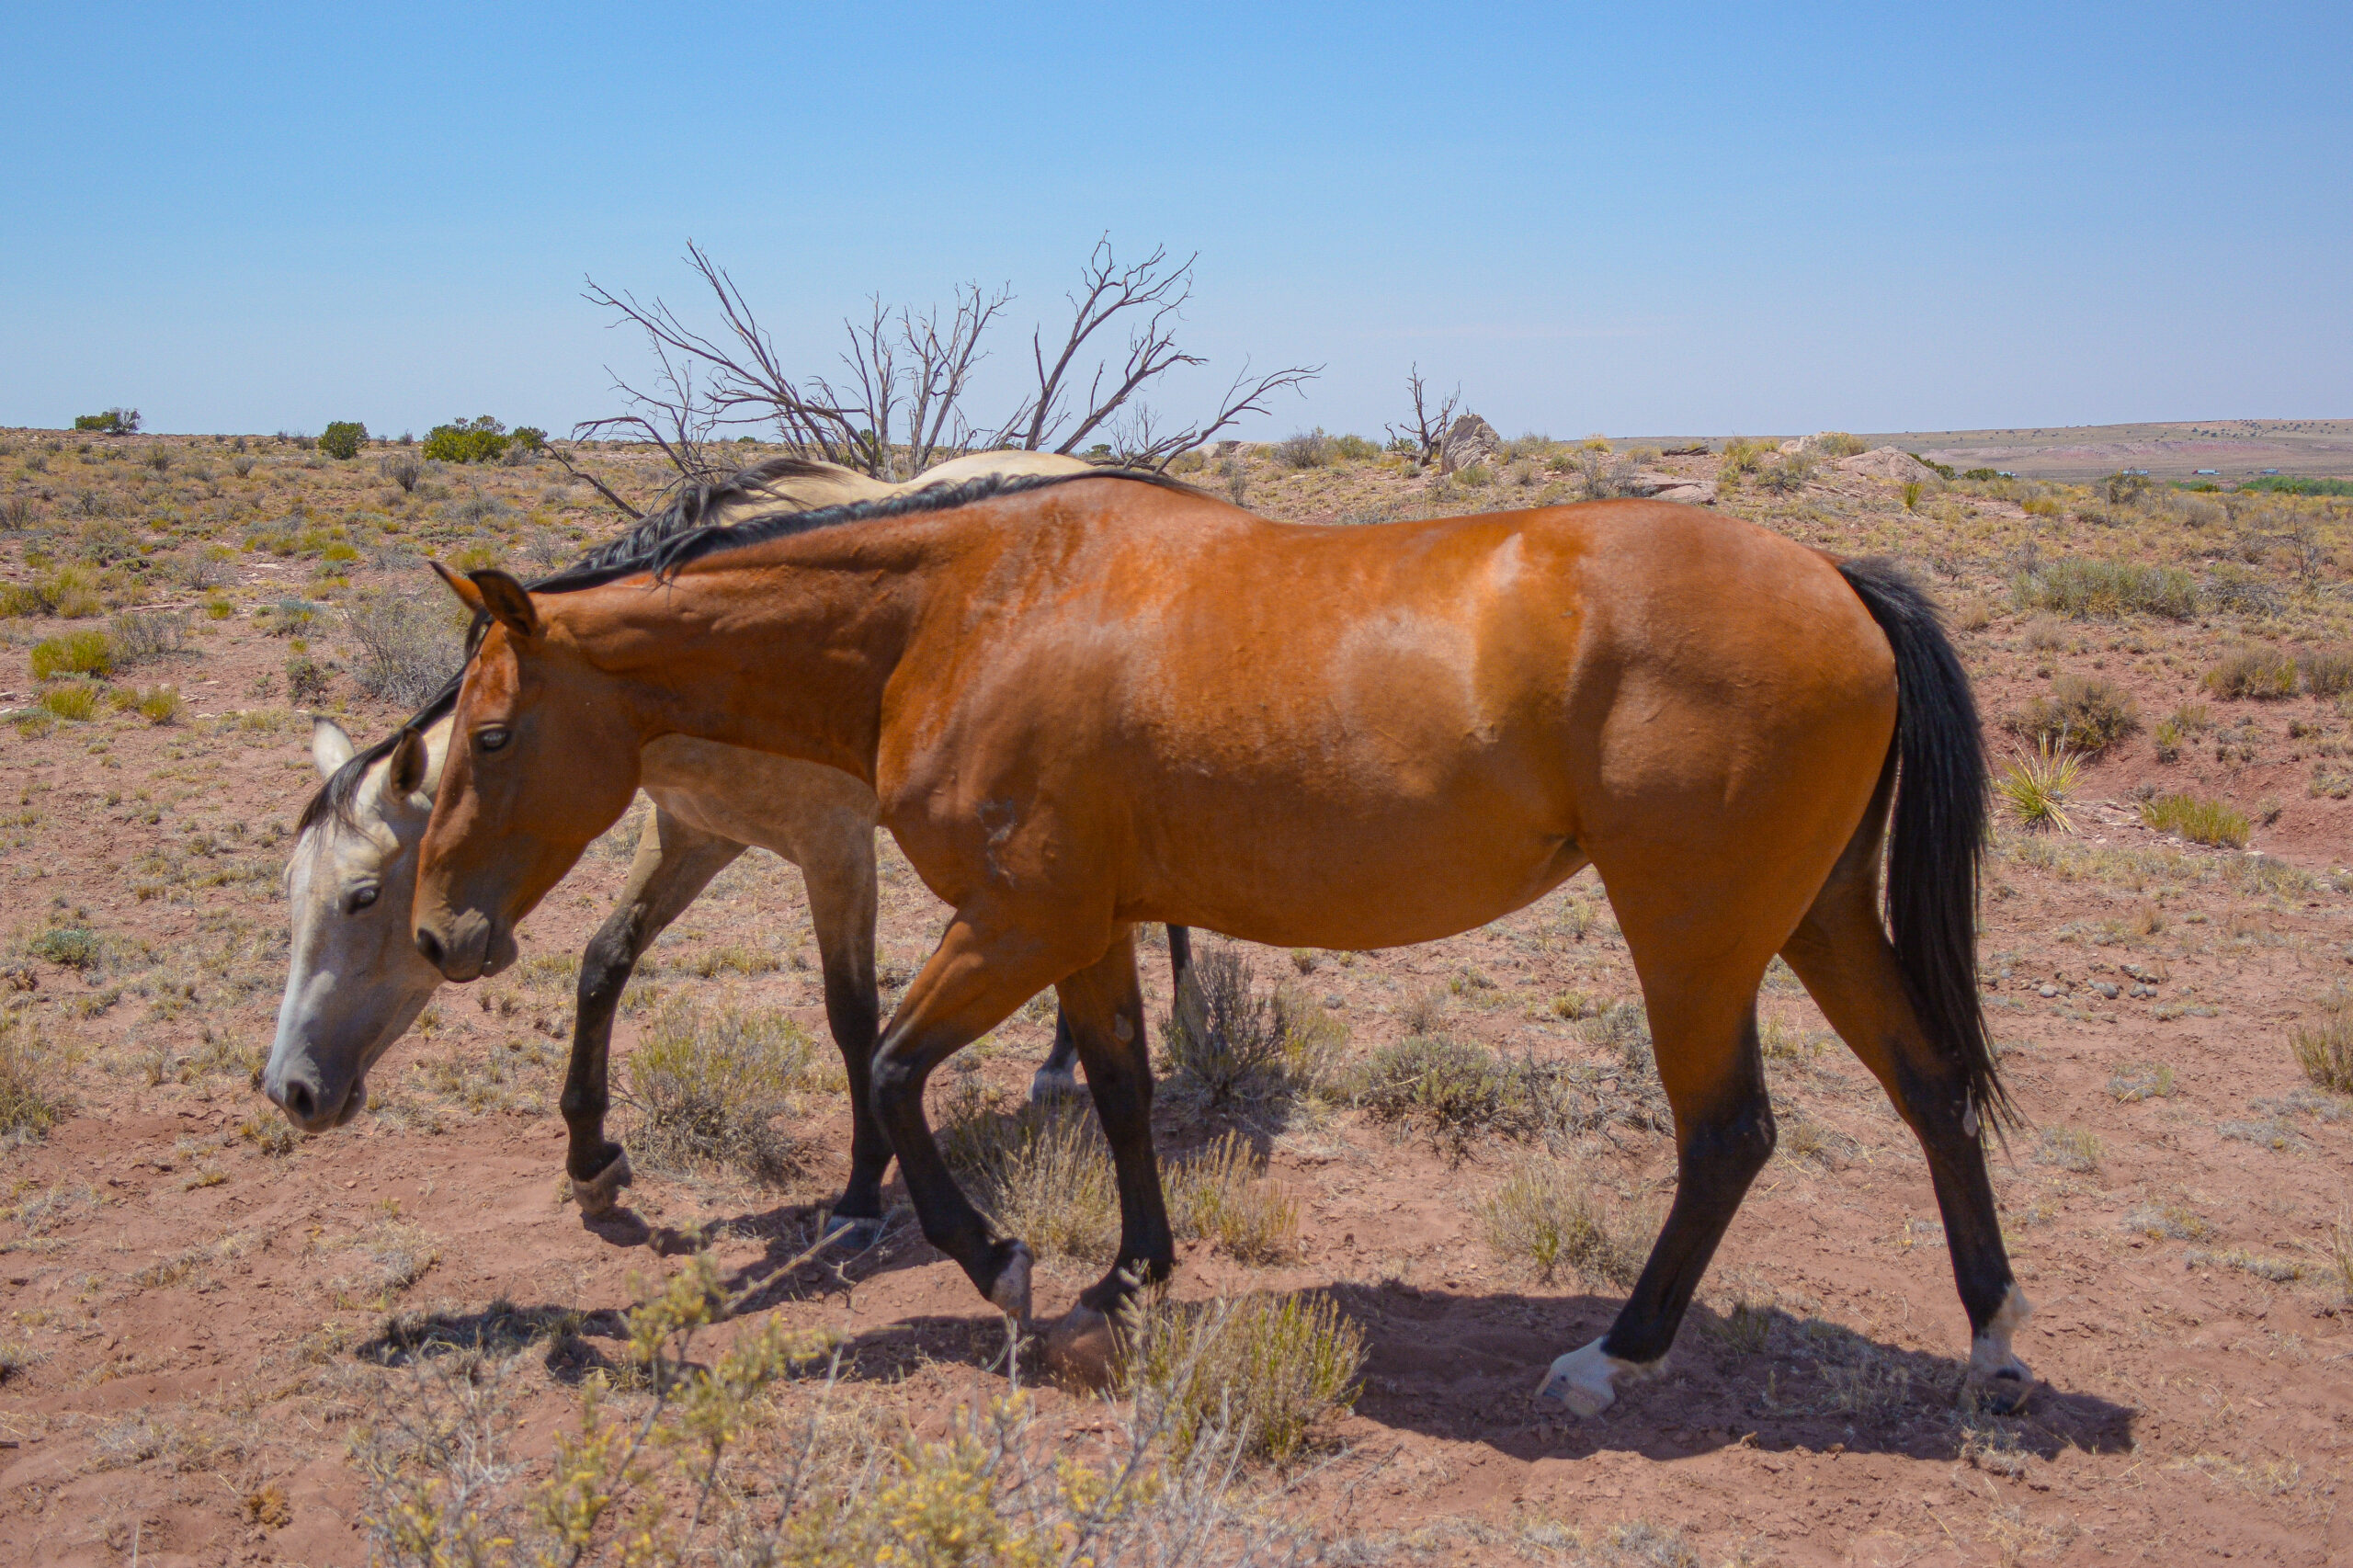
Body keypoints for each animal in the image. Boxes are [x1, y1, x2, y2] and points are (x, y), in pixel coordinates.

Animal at [263, 452, 1190, 1228]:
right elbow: (604, 964)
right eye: (292, 896)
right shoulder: (691, 831)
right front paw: (592, 1162)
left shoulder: (833, 848)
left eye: (362, 896)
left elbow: (852, 1016)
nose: (289, 1089)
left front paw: (861, 1189)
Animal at [407, 467, 2032, 1415]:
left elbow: (887, 1069)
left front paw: (999, 1263)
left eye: (487, 735)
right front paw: (1128, 1276)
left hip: (1695, 937)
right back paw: (1994, 1338)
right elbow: (1124, 1091)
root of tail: (1838, 579)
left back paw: (1612, 1354)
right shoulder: (1087, 926)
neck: (964, 603)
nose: (437, 934)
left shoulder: (1016, 921)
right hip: (1817, 915)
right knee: (1931, 1087)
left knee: (1728, 1136)